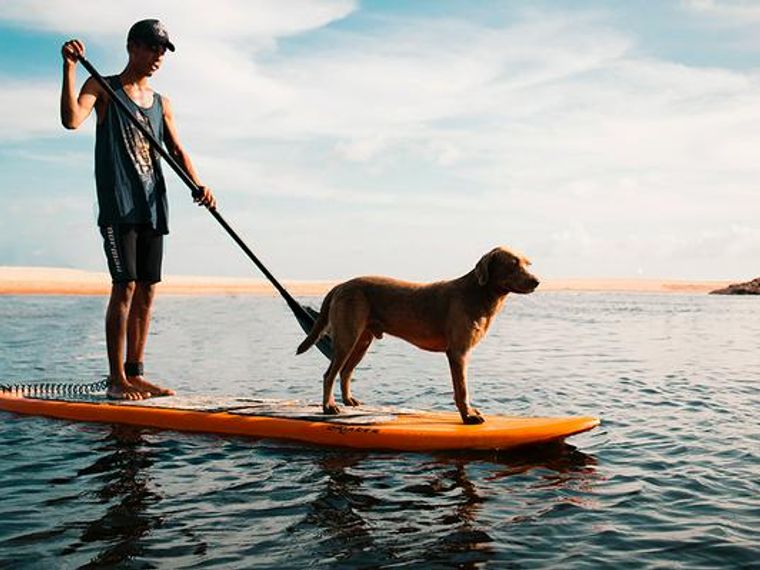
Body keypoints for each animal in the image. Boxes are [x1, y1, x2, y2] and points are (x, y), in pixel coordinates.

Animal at [294, 244, 536, 422]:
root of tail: (340, 285)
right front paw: (468, 416)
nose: (537, 281)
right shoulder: (458, 352)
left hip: (362, 340)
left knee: (345, 371)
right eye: (513, 264)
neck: (479, 294)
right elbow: (462, 389)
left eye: (527, 263)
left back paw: (348, 401)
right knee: (330, 374)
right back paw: (329, 407)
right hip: (347, 337)